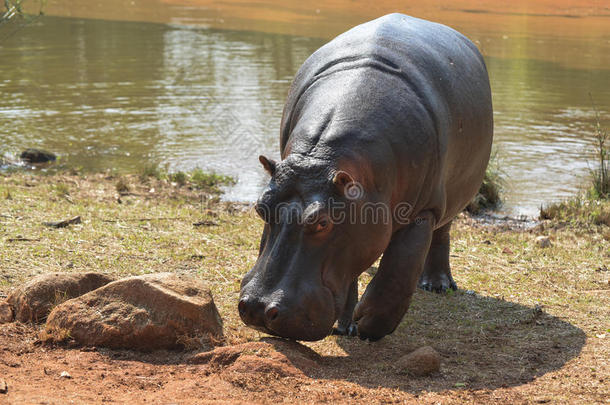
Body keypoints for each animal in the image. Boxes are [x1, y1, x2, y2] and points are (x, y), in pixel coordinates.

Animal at [238, 13, 490, 340]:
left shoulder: (422, 211)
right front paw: (347, 325)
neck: (322, 158)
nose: (258, 307)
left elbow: (398, 274)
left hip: (452, 197)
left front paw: (369, 325)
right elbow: (350, 271)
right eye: (260, 208)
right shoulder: (355, 223)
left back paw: (438, 285)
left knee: (442, 233)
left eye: (322, 221)